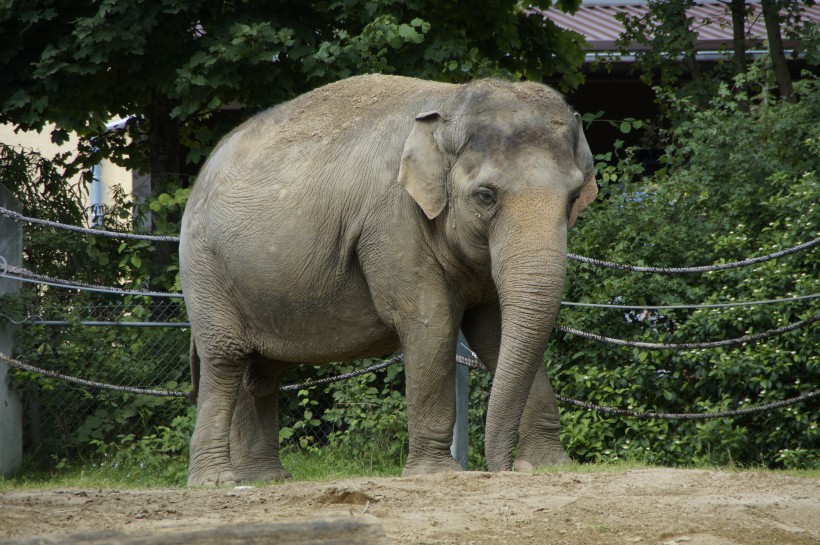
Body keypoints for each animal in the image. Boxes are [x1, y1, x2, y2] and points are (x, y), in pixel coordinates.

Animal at [181, 72, 596, 484]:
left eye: (574, 196)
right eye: (485, 195)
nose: (504, 468)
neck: (449, 103)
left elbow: (493, 332)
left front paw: (548, 465)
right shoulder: (392, 222)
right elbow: (431, 322)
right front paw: (435, 473)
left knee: (261, 372)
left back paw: (265, 479)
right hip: (204, 265)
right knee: (226, 357)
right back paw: (217, 481)